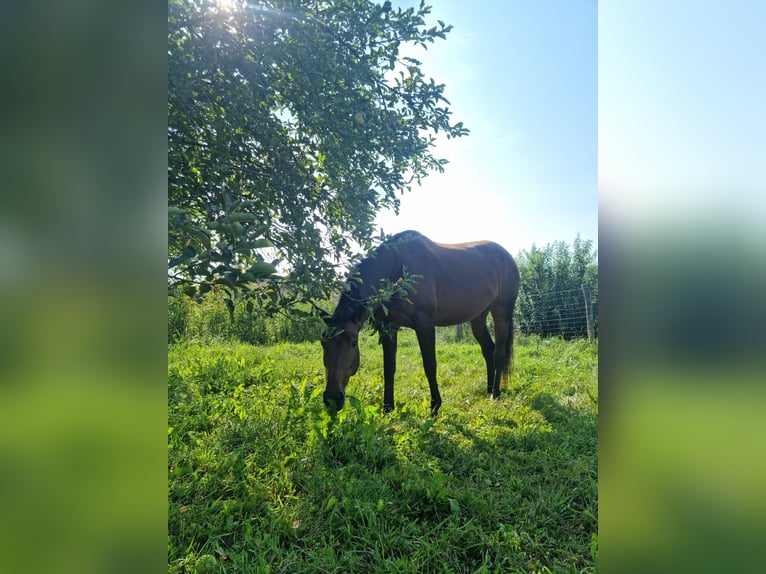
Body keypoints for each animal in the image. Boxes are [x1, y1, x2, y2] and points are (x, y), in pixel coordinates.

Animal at [318, 232, 520, 416]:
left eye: (353, 343)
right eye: (323, 343)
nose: (332, 399)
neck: (397, 267)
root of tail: (508, 257)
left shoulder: (425, 325)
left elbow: (430, 365)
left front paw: (435, 407)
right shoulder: (388, 326)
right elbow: (389, 367)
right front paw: (387, 408)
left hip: (501, 312)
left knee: (498, 354)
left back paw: (495, 394)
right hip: (478, 318)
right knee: (488, 350)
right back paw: (488, 390)